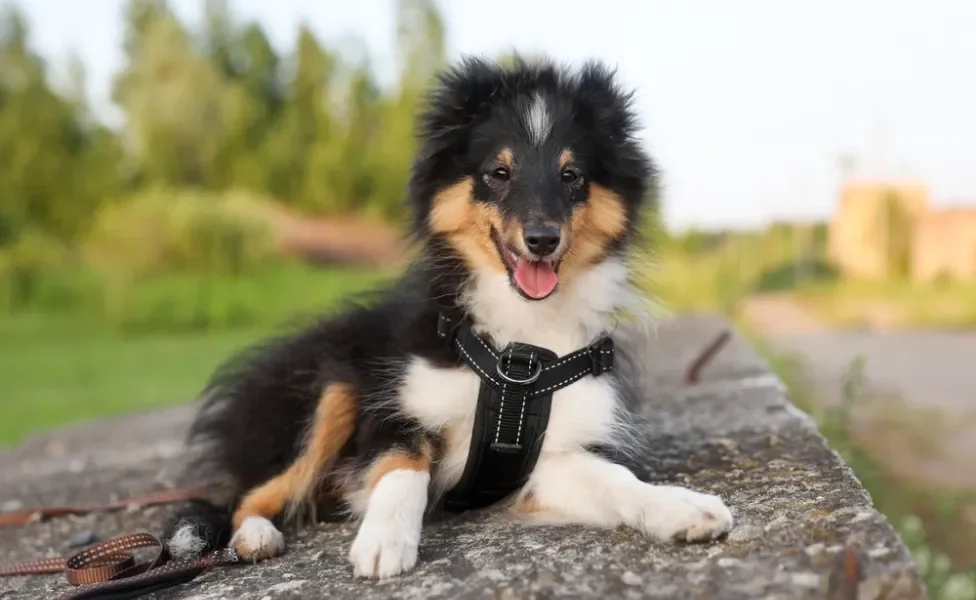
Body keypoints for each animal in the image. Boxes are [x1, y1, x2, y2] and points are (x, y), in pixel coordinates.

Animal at [166, 55, 732, 576]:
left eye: (571, 176)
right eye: (499, 173)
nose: (542, 239)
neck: (517, 354)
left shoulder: (549, 460)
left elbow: (616, 480)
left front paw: (681, 507)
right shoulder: (394, 410)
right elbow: (403, 467)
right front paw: (384, 541)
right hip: (330, 390)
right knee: (245, 497)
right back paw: (255, 538)